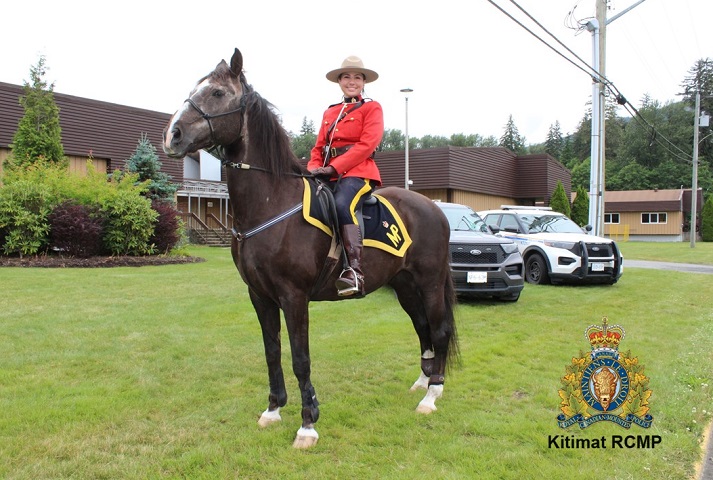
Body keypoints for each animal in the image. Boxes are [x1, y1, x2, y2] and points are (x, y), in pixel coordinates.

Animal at [163, 48, 459, 449]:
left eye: (218, 93)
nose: (172, 135)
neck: (271, 203)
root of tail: (435, 208)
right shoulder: (260, 296)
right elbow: (272, 352)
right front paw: (273, 409)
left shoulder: (294, 296)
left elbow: (300, 358)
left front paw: (307, 423)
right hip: (405, 286)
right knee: (423, 328)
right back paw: (423, 382)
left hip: (429, 283)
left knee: (439, 331)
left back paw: (432, 396)